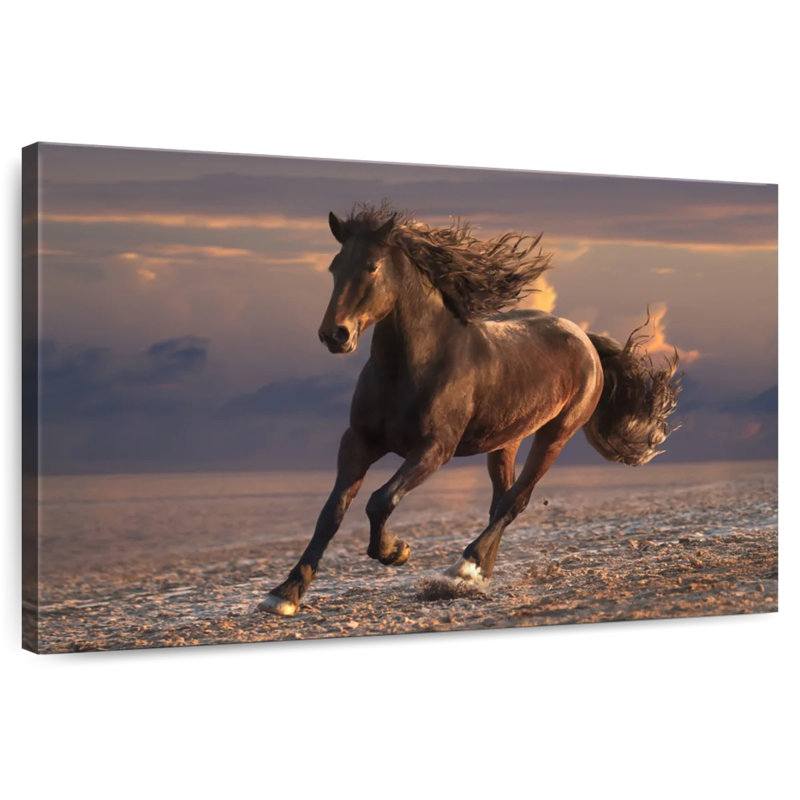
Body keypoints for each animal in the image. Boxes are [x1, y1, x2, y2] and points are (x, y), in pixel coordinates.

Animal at [258, 203, 681, 616]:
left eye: (372, 266)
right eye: (334, 267)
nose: (335, 334)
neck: (415, 365)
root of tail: (584, 339)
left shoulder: (435, 449)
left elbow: (381, 500)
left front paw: (396, 552)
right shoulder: (358, 441)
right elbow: (332, 511)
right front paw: (285, 593)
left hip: (555, 434)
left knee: (514, 501)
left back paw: (464, 567)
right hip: (506, 440)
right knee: (501, 502)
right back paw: (477, 574)